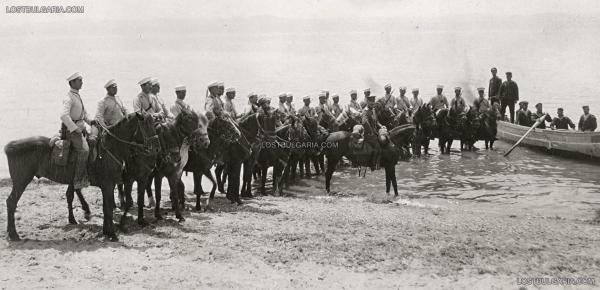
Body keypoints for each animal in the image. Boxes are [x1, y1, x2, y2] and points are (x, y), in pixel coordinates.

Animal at [4, 112, 159, 241]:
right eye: (145, 125)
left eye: (154, 124)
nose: (156, 148)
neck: (109, 149)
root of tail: (10, 146)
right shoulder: (108, 185)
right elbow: (109, 208)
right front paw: (112, 233)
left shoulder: (109, 186)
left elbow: (107, 207)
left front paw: (107, 231)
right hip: (21, 181)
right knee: (11, 202)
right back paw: (13, 234)